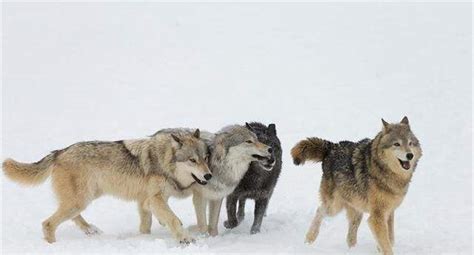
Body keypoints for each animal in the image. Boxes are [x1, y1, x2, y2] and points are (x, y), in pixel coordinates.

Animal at [292, 117, 422, 255]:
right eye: (396, 144)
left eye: (410, 143)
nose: (410, 155)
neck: (382, 169)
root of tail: (332, 147)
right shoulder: (376, 217)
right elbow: (387, 245)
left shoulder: (389, 212)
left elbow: (390, 239)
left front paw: (379, 249)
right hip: (334, 207)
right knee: (319, 210)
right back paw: (309, 239)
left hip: (357, 212)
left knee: (350, 237)